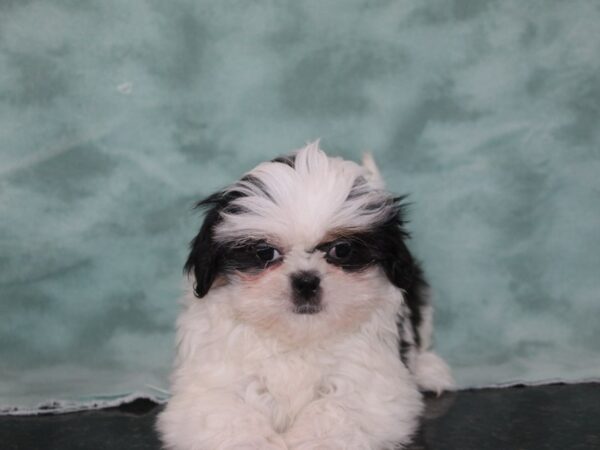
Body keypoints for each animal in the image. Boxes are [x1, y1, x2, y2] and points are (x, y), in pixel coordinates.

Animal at [157, 142, 452, 448]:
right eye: (265, 253)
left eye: (342, 250)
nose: (306, 282)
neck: (298, 338)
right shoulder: (212, 386)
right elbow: (229, 414)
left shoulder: (369, 386)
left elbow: (337, 410)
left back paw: (430, 369)